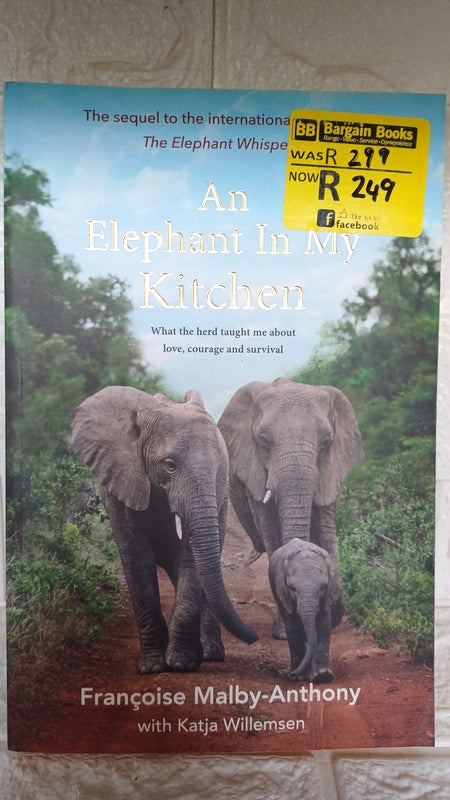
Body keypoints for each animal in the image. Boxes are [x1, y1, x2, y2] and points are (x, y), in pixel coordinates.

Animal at [70, 385, 257, 674]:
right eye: (170, 465)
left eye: (219, 470)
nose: (255, 637)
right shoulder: (119, 484)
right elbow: (136, 559)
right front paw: (152, 667)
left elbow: (190, 558)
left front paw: (182, 663)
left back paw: (210, 653)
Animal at [218, 377, 364, 630]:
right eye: (263, 440)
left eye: (326, 441)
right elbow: (272, 533)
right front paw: (285, 629)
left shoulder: (332, 468)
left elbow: (326, 530)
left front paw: (332, 617)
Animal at [268, 538, 333, 683]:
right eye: (292, 588)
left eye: (323, 587)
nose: (292, 674)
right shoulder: (283, 592)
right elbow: (293, 626)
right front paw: (299, 677)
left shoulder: (328, 594)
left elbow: (324, 625)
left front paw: (323, 676)